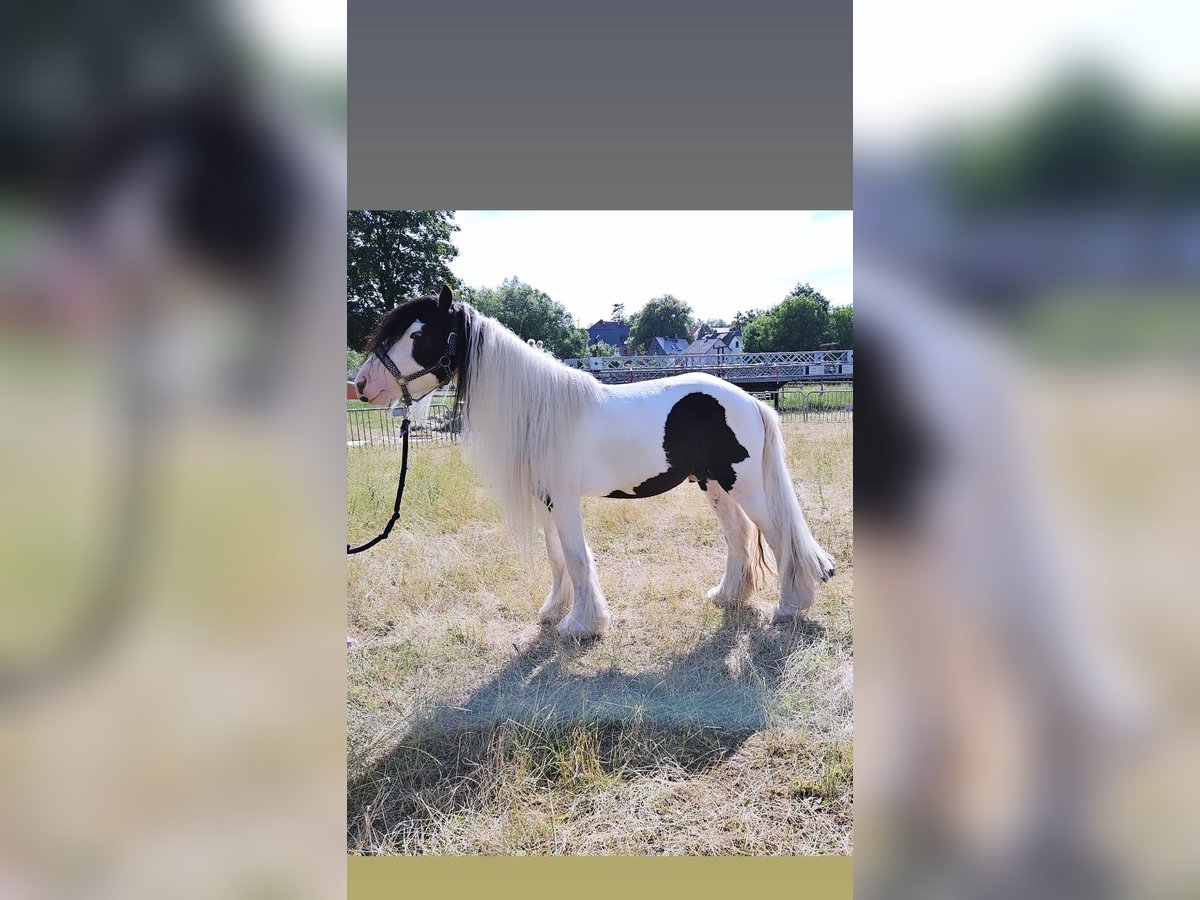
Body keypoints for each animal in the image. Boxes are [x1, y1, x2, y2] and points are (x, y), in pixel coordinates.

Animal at [352, 285, 835, 638]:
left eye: (416, 335)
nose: (362, 384)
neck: (540, 409)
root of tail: (751, 402)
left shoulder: (565, 500)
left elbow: (577, 556)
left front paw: (581, 626)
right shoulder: (546, 501)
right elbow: (558, 558)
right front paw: (554, 612)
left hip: (745, 483)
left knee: (779, 536)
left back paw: (789, 607)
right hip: (712, 482)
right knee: (738, 536)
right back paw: (726, 597)